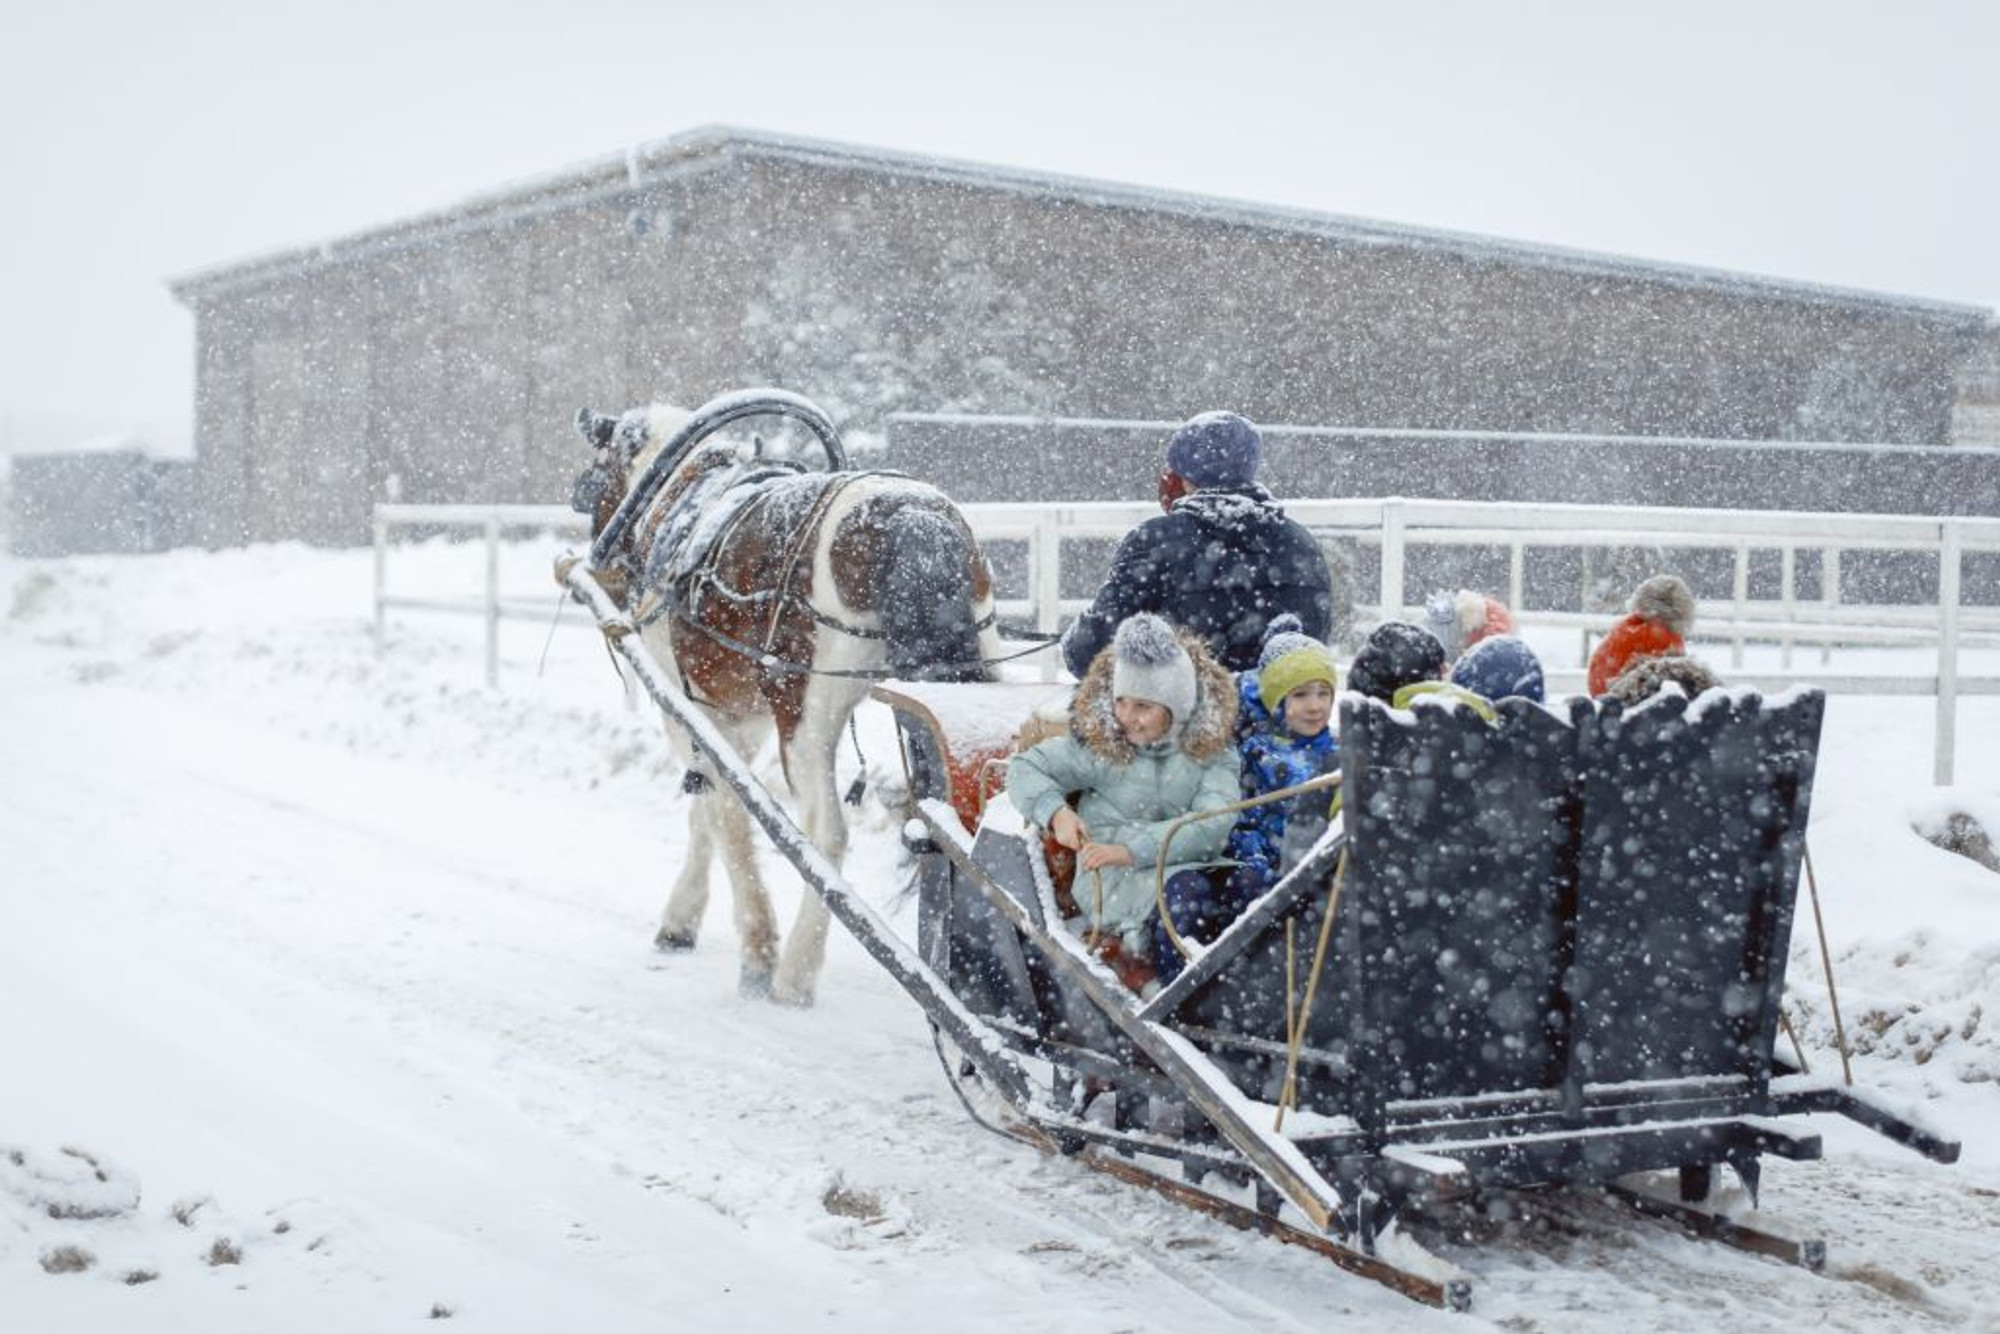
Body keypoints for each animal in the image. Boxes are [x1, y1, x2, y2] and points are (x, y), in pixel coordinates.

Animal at [568, 386, 1000, 1000]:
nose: (604, 573)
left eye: (595, 481)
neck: (683, 501)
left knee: (825, 833)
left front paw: (756, 946)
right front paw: (684, 919)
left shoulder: (691, 710)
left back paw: (796, 971)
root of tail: (907, 515)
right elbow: (710, 810)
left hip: (807, 718)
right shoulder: (733, 716)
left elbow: (725, 810)